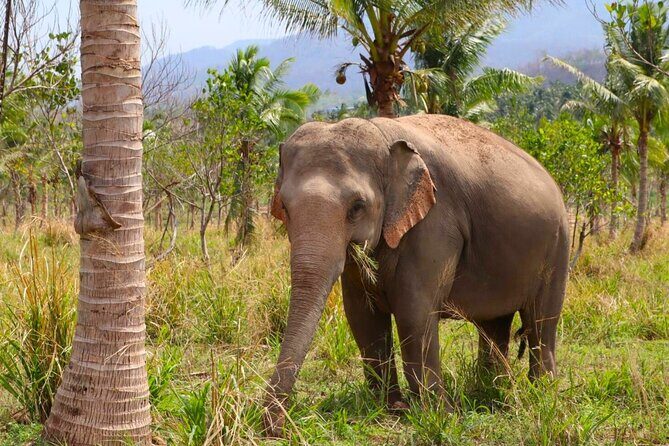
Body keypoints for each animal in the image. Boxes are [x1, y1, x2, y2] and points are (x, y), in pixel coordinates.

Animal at [264, 114, 569, 435]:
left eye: (357, 207)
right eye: (284, 207)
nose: (277, 427)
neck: (382, 135)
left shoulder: (435, 223)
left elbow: (415, 313)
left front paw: (438, 415)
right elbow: (362, 316)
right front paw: (391, 407)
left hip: (558, 247)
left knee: (541, 323)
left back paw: (541, 394)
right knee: (494, 325)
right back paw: (490, 393)